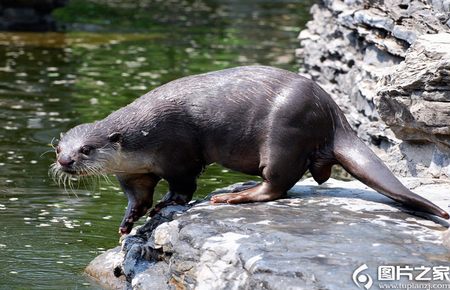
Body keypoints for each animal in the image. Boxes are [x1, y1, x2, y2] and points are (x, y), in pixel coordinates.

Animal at [51, 64, 448, 234]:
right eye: (59, 148)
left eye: (86, 149)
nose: (66, 161)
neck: (142, 138)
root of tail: (331, 110)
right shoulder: (134, 173)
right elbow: (138, 197)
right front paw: (129, 221)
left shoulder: (177, 152)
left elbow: (182, 186)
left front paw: (168, 204)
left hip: (283, 132)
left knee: (278, 184)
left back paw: (234, 196)